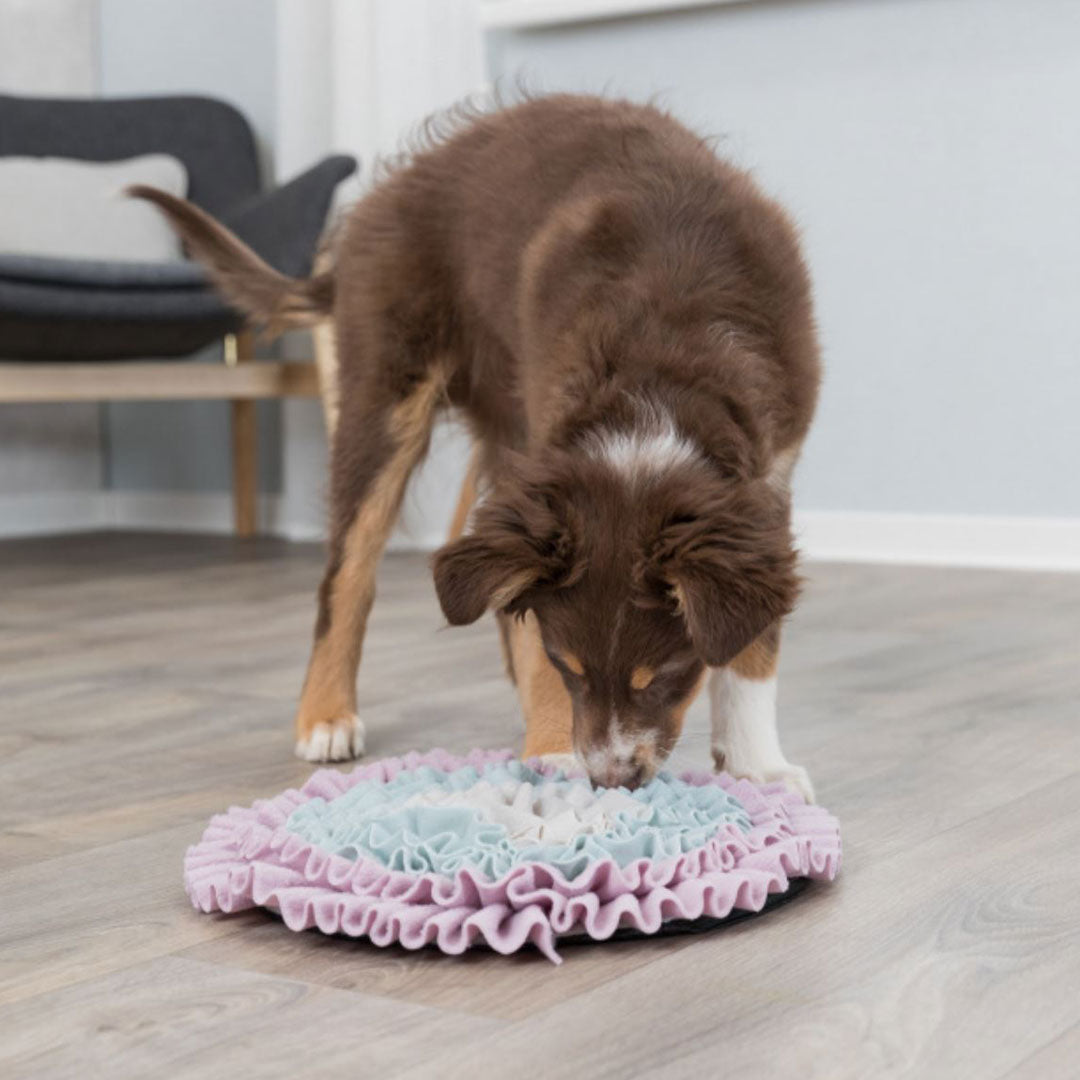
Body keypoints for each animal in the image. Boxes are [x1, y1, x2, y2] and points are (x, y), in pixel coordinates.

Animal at [137, 95, 825, 803]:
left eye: (665, 673)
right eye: (569, 667)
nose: (611, 781)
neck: (660, 367)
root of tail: (381, 198)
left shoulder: (766, 483)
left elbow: (753, 647)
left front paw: (758, 765)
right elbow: (530, 627)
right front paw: (554, 750)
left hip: (507, 434)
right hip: (388, 395)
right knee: (346, 575)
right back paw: (326, 716)